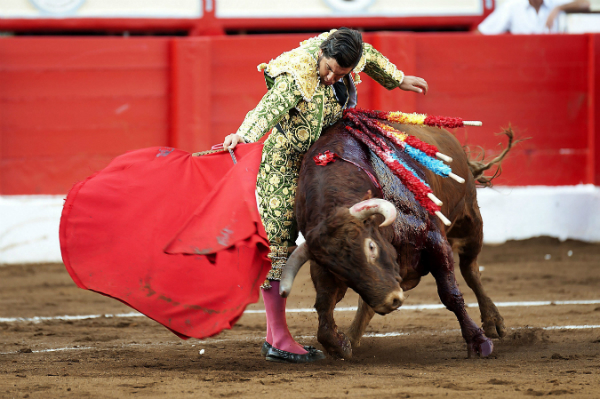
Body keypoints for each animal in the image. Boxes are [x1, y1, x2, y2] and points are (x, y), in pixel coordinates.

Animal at [280, 120, 510, 360]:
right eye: (337, 269)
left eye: (371, 247)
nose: (389, 300)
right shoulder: (322, 263)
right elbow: (325, 304)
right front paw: (340, 344)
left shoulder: (435, 241)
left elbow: (450, 294)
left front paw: (478, 342)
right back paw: (353, 335)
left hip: (470, 220)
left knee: (470, 270)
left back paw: (493, 323)